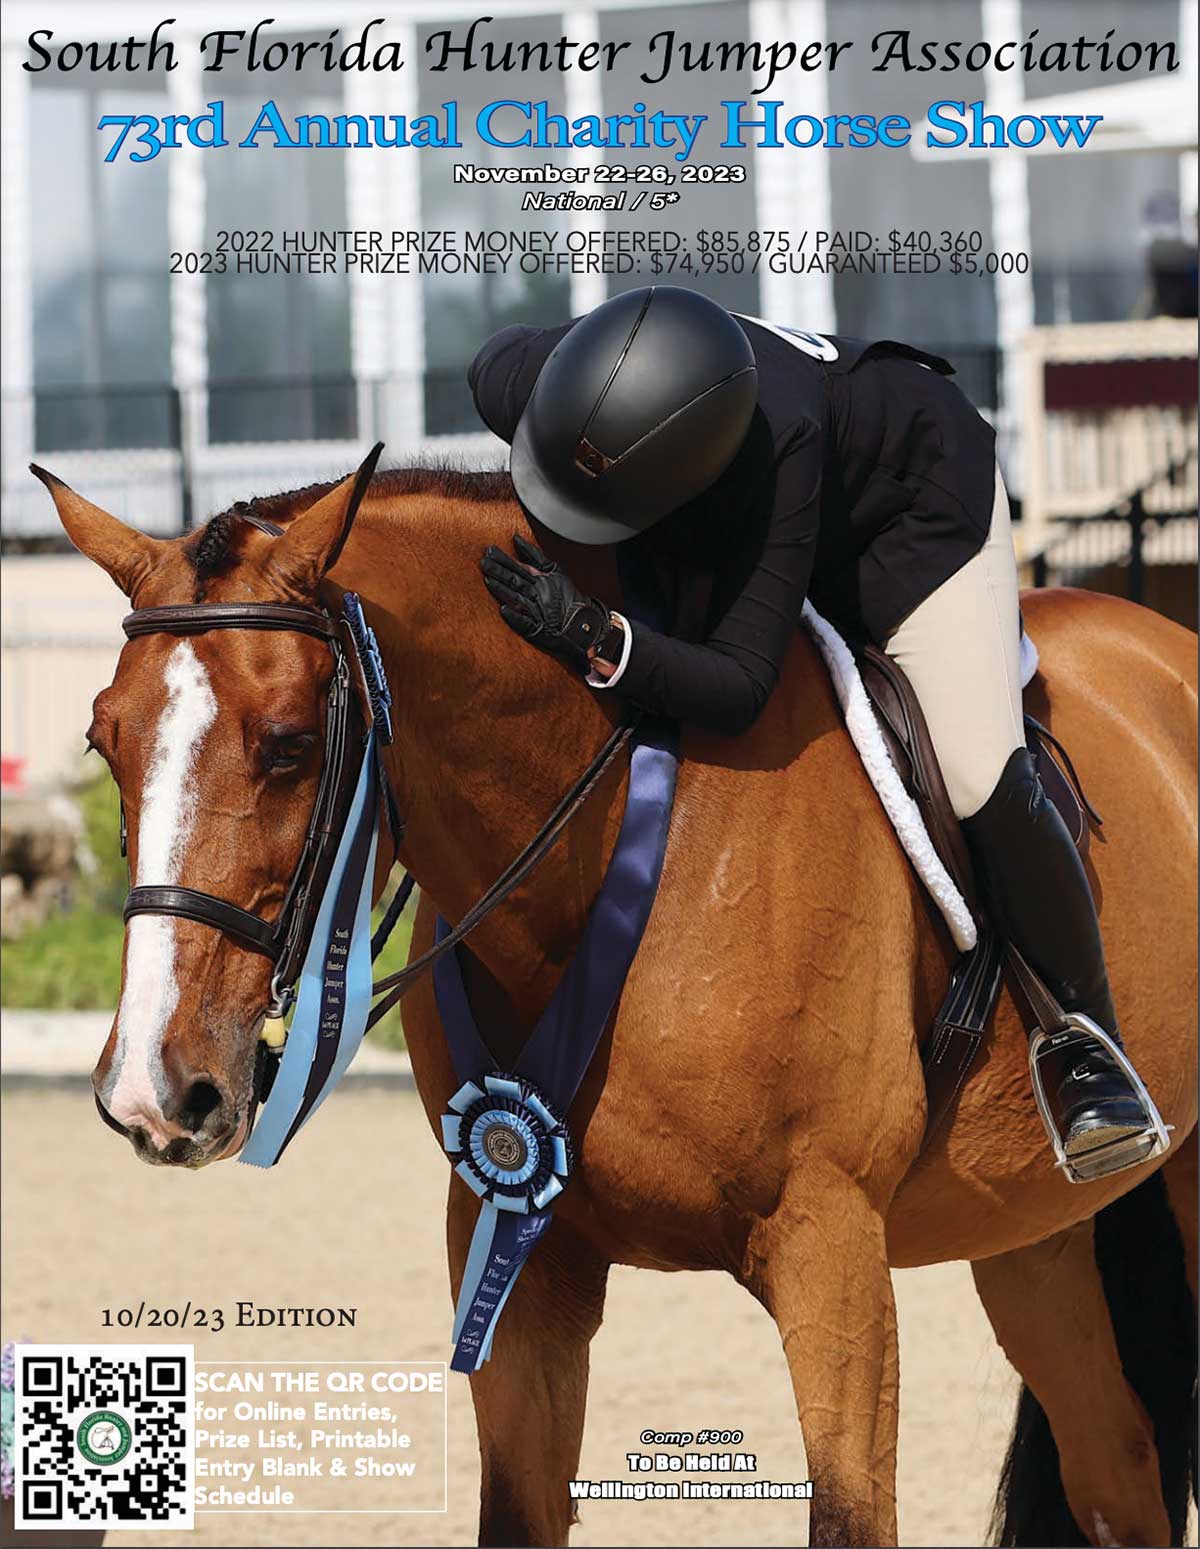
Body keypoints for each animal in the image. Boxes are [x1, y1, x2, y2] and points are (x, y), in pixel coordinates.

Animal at [37, 455, 1200, 1549]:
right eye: (103, 740)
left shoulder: (831, 1242)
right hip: (1030, 1232)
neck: (610, 860)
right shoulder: (516, 1241)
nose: (153, 1093)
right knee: (1119, 1471)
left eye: (286, 744)